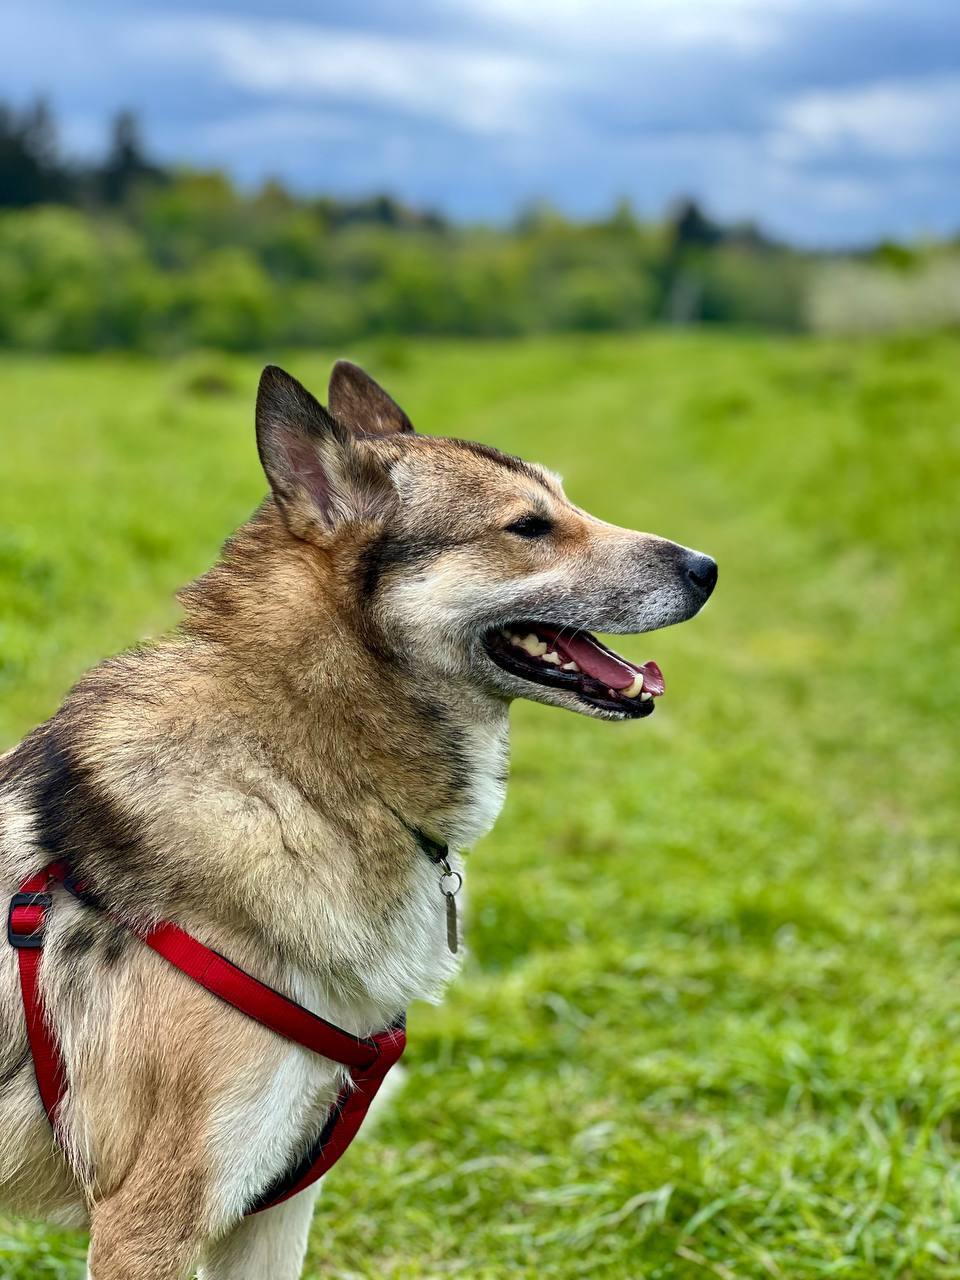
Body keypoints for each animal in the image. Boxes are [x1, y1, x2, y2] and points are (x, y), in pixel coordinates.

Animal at [0, 363, 716, 1280]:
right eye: (529, 527)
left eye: (565, 501)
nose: (708, 568)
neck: (304, 773)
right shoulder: (149, 1220)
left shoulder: (273, 1208)